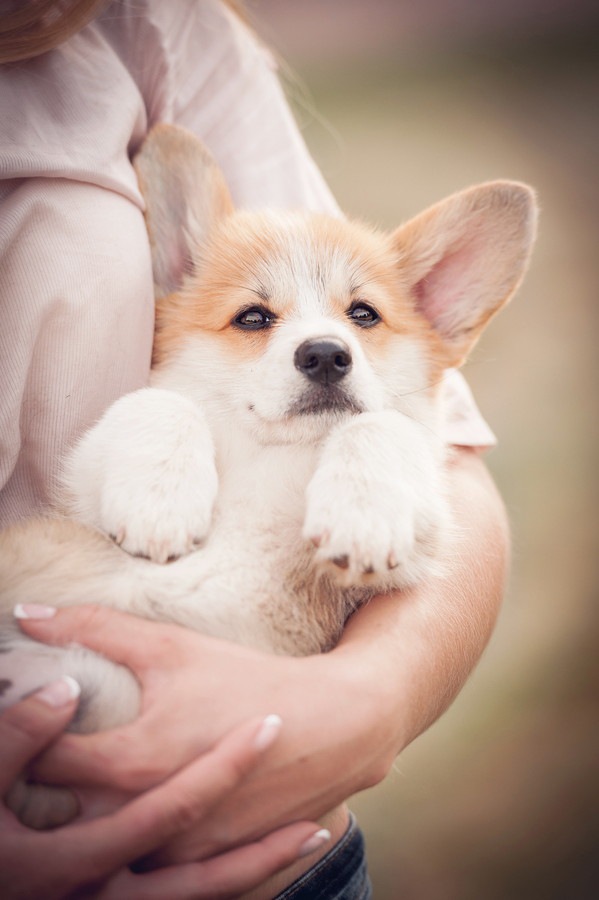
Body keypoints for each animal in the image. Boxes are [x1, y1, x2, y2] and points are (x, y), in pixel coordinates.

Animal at [0, 125, 540, 816]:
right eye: (252, 318)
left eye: (363, 315)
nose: (327, 355)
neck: (275, 452)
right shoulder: (81, 483)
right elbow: (161, 403)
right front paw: (159, 504)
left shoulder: (418, 544)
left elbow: (379, 427)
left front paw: (360, 516)